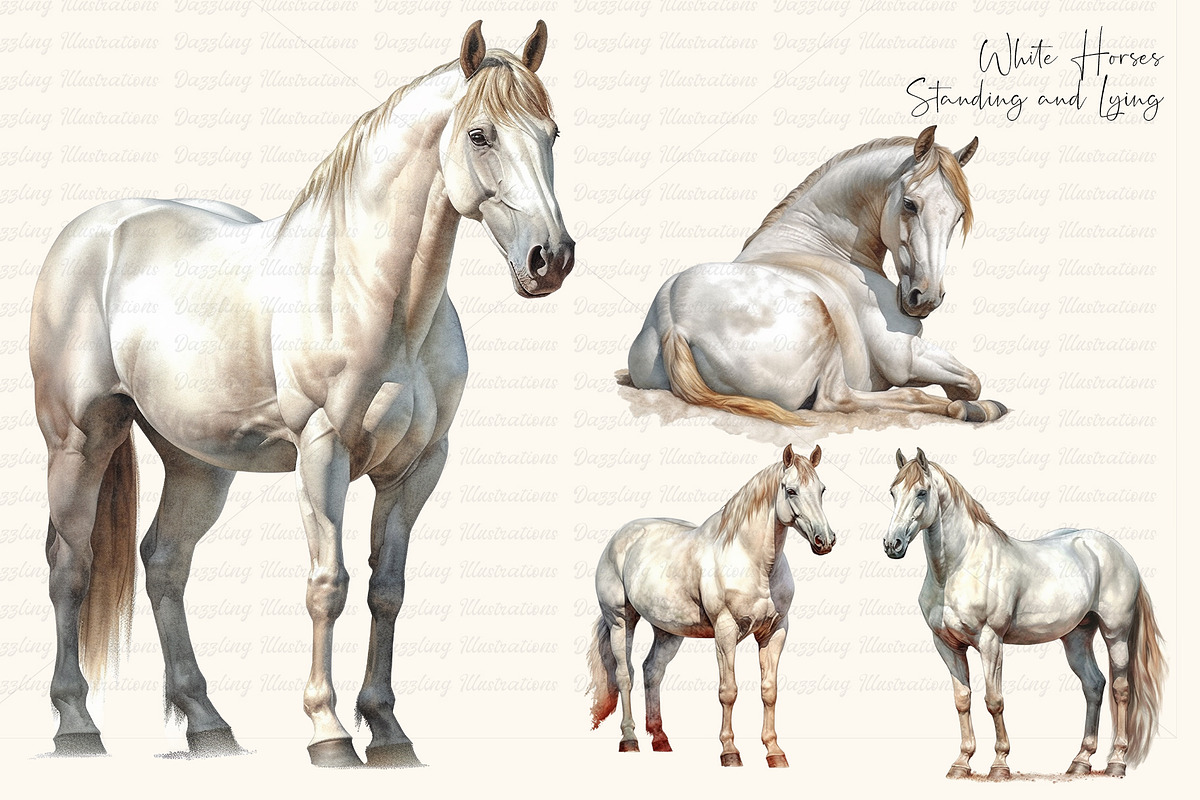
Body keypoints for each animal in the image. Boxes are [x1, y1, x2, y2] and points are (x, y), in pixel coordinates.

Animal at [29, 20, 574, 768]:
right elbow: (328, 586)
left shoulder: (417, 469)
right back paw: (75, 723)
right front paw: (330, 731)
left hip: (197, 462)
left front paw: (389, 730)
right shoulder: (324, 451)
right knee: (69, 565)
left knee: (165, 562)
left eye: (552, 133)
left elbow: (387, 591)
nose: (550, 259)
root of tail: (89, 233)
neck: (370, 291)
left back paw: (208, 724)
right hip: (80, 441)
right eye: (480, 134)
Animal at [586, 444, 835, 767]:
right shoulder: (725, 631)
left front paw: (774, 751)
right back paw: (629, 739)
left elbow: (769, 691)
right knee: (624, 674)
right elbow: (728, 691)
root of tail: (620, 537)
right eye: (791, 490)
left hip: (668, 632)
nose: (825, 540)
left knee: (651, 671)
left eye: (822, 489)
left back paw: (660, 739)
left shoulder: (775, 632)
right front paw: (730, 751)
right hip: (621, 621)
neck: (753, 562)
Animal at [628, 126, 1007, 425]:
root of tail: (675, 323)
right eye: (910, 204)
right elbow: (972, 380)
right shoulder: (904, 357)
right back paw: (971, 409)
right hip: (824, 322)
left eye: (958, 216)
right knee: (836, 399)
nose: (925, 298)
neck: (820, 244)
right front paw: (968, 403)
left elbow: (968, 381)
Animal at [884, 449, 1166, 779]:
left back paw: (1116, 762)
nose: (892, 544)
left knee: (1121, 689)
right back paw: (1080, 761)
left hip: (1116, 633)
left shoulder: (991, 642)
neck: (960, 567)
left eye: (921, 492)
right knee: (1094, 685)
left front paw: (999, 764)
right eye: (893, 492)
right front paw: (961, 763)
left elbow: (994, 701)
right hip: (1077, 636)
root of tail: (1117, 551)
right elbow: (962, 700)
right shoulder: (947, 645)